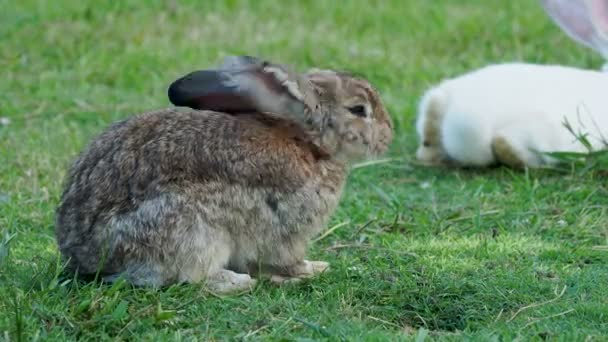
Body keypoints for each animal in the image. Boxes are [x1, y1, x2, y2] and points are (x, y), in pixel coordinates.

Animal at [54, 55, 392, 292]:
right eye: (359, 110)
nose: (388, 136)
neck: (310, 143)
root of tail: (83, 255)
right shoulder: (287, 230)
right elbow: (287, 260)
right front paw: (311, 270)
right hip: (190, 230)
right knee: (187, 278)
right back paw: (235, 282)